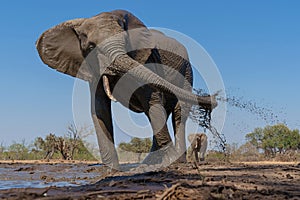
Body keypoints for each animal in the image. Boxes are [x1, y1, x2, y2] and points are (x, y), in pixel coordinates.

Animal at [36, 9, 217, 169]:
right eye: (91, 47)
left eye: (125, 42)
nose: (213, 100)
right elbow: (100, 109)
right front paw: (111, 170)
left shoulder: (147, 60)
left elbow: (152, 100)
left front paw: (168, 163)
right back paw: (150, 162)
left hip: (187, 72)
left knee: (178, 112)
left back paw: (174, 162)